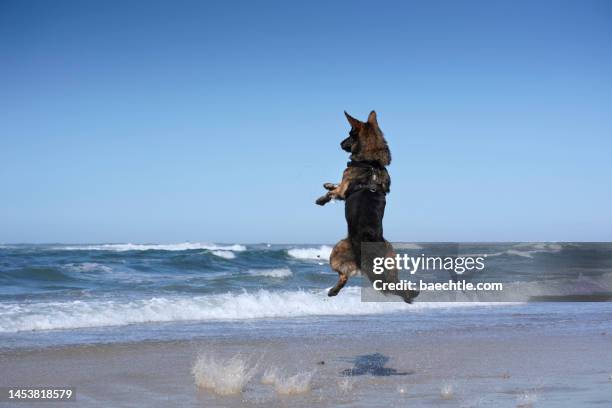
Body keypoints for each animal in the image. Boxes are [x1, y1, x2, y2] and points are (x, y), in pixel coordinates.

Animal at [318, 111, 418, 302]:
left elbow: (334, 192)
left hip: (336, 251)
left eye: (350, 134)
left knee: (344, 275)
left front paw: (322, 198)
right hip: (391, 262)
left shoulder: (343, 190)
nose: (340, 144)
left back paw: (333, 290)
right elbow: (333, 186)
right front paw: (327, 184)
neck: (372, 163)